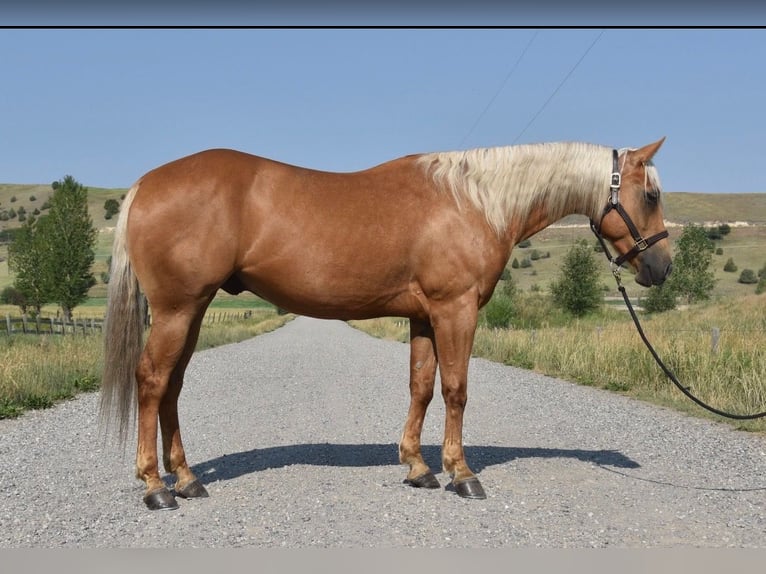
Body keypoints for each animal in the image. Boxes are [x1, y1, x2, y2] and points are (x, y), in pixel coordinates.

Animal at [100, 138, 672, 510]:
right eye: (650, 195)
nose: (661, 268)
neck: (473, 200)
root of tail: (146, 184)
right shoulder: (454, 309)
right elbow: (456, 388)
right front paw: (462, 473)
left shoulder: (423, 316)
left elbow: (421, 387)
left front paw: (418, 468)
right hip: (178, 309)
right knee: (153, 380)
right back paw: (155, 486)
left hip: (192, 310)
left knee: (172, 386)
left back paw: (186, 479)